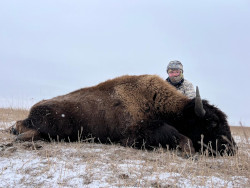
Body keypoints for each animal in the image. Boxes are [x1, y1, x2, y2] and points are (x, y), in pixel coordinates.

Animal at [10, 75, 236, 156]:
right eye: (212, 122)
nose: (232, 148)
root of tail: (34, 108)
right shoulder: (134, 135)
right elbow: (179, 136)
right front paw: (188, 151)